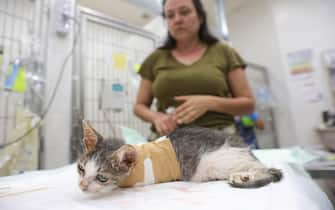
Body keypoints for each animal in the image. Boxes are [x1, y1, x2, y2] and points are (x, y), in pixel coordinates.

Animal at [77, 120, 282, 193]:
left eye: (102, 177)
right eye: (81, 169)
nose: (82, 185)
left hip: (217, 161)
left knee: (267, 169)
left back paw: (244, 176)